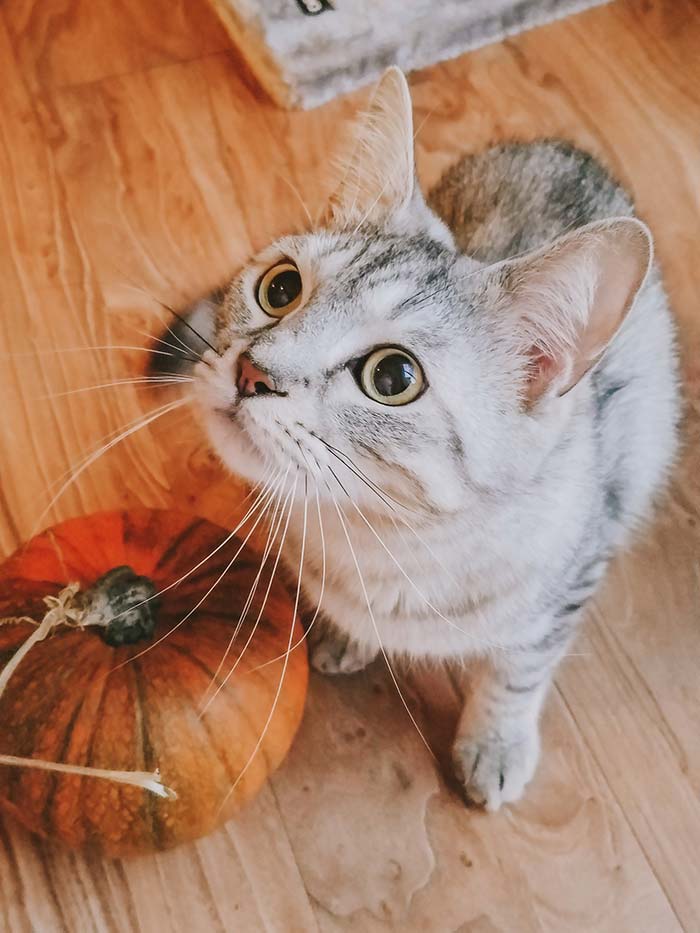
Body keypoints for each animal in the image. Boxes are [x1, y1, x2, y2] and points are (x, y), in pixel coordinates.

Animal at [152, 69, 680, 808]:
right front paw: (347, 635)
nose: (253, 371)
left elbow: (517, 673)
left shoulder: (572, 575)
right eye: (280, 287)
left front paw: (495, 743)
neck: (381, 538)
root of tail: (565, 148)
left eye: (393, 376)